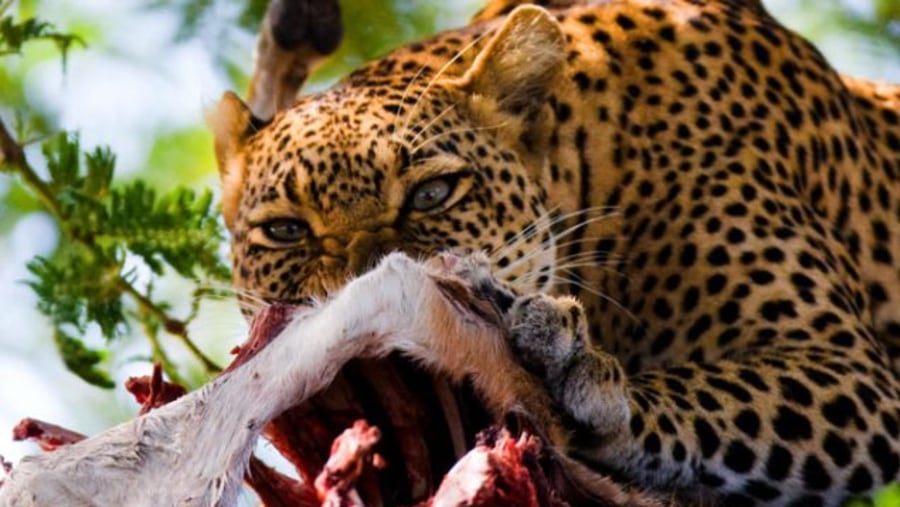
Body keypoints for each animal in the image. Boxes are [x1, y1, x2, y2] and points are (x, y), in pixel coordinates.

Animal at [209, 1, 900, 506]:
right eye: (287, 230)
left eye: (432, 194)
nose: (358, 293)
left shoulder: (846, 365)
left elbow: (709, 393)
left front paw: (575, 372)